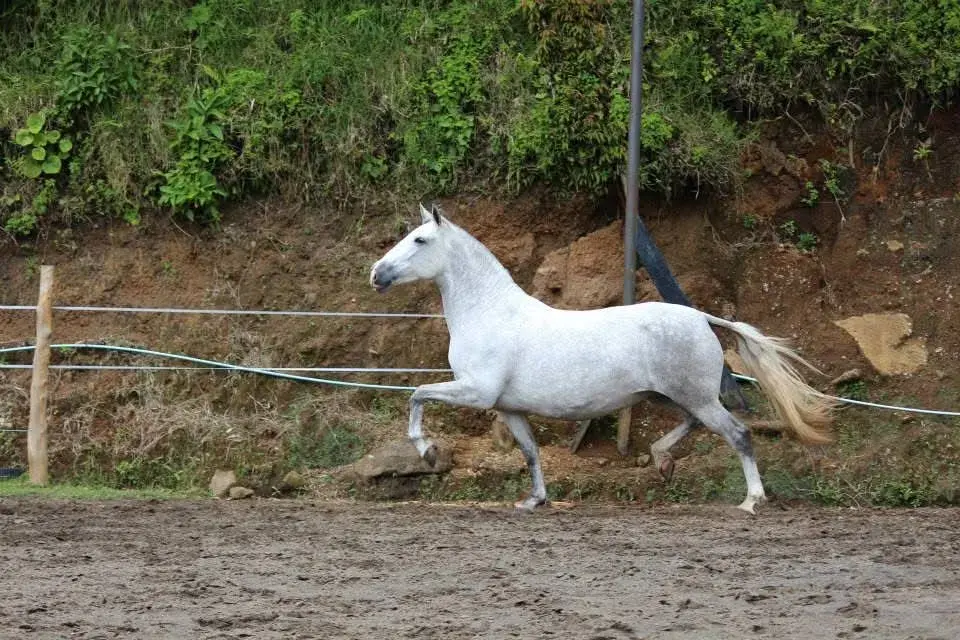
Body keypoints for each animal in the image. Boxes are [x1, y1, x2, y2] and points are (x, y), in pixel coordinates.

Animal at [370, 203, 836, 514]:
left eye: (420, 240)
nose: (376, 274)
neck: (489, 313)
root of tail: (701, 316)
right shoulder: (509, 408)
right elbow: (531, 452)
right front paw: (535, 500)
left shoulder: (476, 392)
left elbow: (417, 394)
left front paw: (428, 453)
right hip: (672, 395)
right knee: (694, 423)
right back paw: (662, 460)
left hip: (694, 395)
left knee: (738, 433)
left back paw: (751, 500)